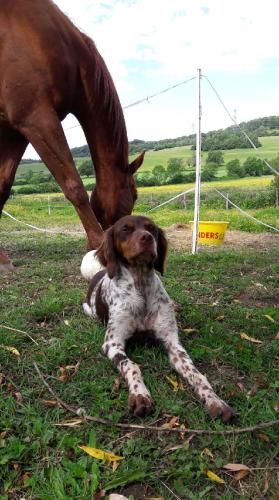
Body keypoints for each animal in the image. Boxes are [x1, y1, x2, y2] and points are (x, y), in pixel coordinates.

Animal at [0, 0, 144, 272]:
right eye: (134, 194)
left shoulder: (16, 131)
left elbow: (2, 187)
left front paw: (1, 257)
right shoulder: (37, 118)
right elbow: (73, 184)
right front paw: (99, 247)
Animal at [82, 215, 235, 422]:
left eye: (151, 228)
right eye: (125, 229)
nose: (147, 238)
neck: (140, 287)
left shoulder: (172, 342)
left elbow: (195, 373)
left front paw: (214, 400)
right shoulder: (112, 343)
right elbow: (131, 365)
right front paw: (140, 395)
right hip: (88, 310)